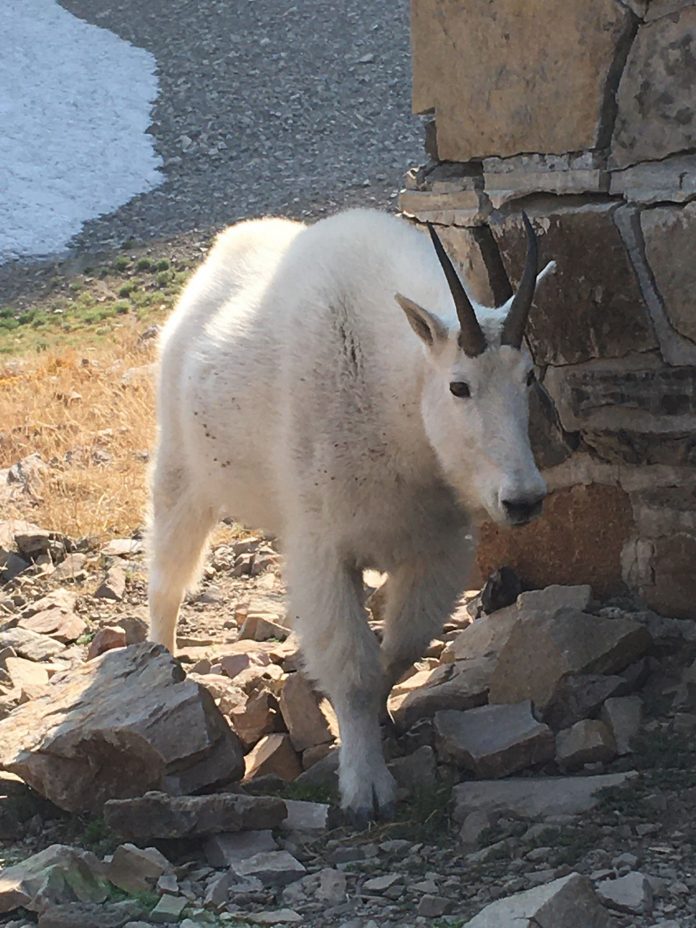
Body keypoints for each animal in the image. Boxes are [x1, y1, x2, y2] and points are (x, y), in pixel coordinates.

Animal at [147, 208, 556, 828]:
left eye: (529, 377)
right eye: (459, 385)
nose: (524, 500)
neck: (396, 395)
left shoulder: (436, 547)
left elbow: (397, 650)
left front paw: (379, 722)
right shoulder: (325, 548)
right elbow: (355, 668)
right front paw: (368, 786)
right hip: (181, 467)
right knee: (168, 577)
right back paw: (161, 662)